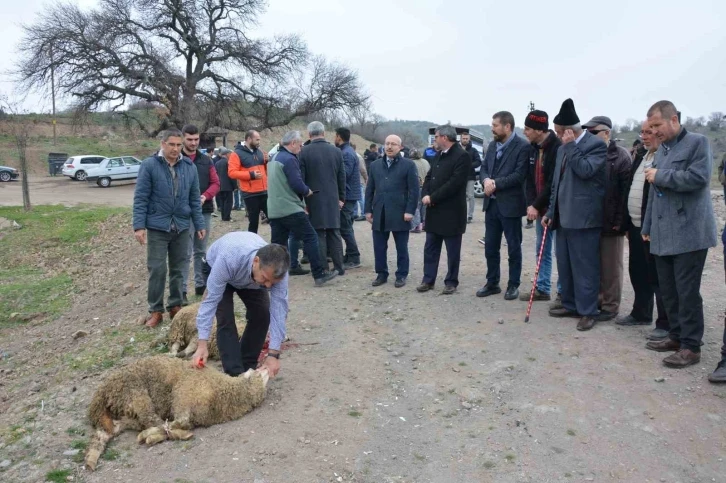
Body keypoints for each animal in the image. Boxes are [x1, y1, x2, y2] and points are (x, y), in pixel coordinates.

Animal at [84, 356, 268, 472]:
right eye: (259, 372)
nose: (267, 367)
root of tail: (100, 396)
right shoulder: (182, 400)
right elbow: (175, 424)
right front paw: (154, 436)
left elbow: (175, 425)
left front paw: (158, 435)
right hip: (134, 393)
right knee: (150, 418)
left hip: (122, 414)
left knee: (104, 434)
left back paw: (90, 461)